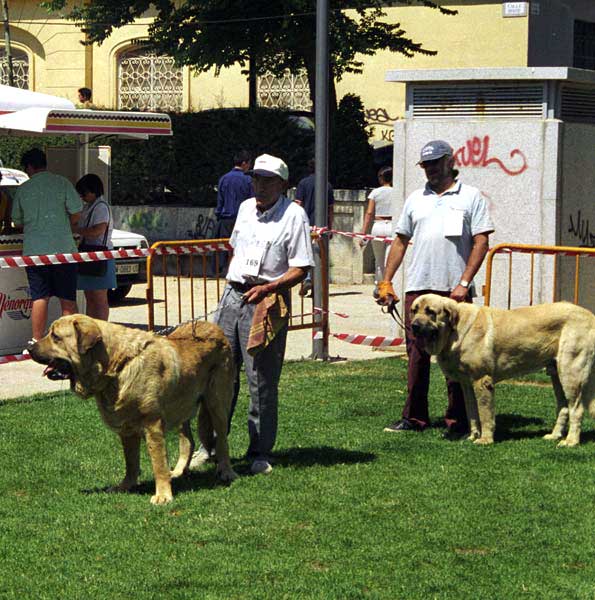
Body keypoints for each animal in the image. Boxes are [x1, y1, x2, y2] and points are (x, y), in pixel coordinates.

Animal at [28, 316, 237, 504]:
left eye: (55, 336)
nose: (29, 348)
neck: (117, 366)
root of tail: (215, 328)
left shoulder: (152, 425)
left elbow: (158, 463)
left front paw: (163, 495)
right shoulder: (126, 429)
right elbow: (130, 461)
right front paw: (125, 486)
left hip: (217, 403)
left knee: (222, 441)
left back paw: (226, 471)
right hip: (182, 405)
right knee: (188, 441)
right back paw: (178, 471)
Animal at [412, 294, 595, 446]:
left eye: (430, 312)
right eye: (414, 311)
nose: (414, 326)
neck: (454, 330)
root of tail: (590, 316)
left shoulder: (482, 380)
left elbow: (484, 414)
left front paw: (485, 439)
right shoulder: (467, 384)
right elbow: (472, 413)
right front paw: (472, 436)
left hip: (570, 373)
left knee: (577, 409)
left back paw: (571, 441)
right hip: (556, 376)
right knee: (563, 407)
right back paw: (554, 435)